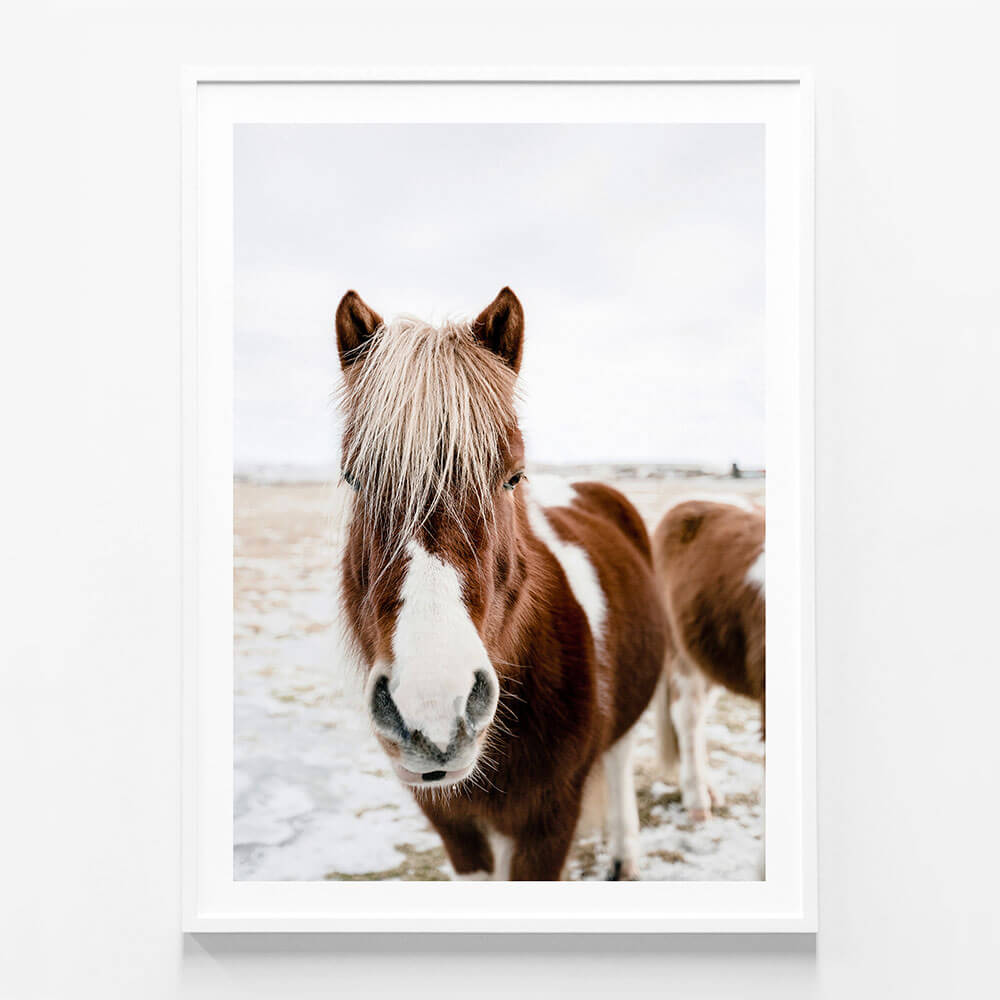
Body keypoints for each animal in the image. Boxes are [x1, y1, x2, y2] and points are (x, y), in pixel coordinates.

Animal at [334, 287, 668, 880]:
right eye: (352, 477)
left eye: (513, 476)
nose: (433, 711)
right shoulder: (455, 827)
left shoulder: (549, 824)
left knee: (621, 756)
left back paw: (624, 856)